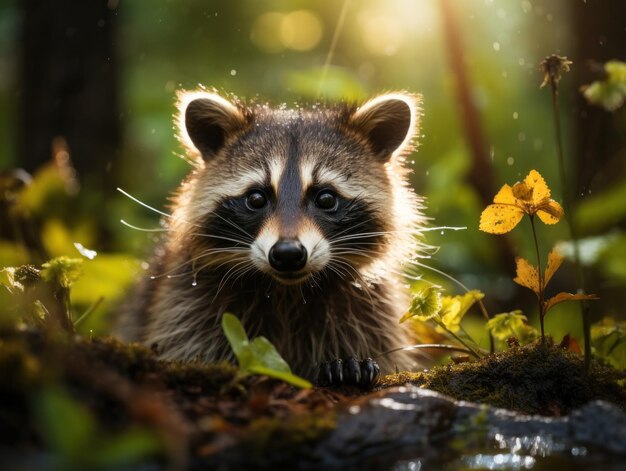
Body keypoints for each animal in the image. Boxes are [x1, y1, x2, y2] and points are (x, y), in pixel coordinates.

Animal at [118, 89, 424, 384]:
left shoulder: (370, 308)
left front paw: (348, 364)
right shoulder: (187, 299)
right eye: (256, 198)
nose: (288, 254)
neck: (287, 291)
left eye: (325, 198)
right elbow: (188, 344)